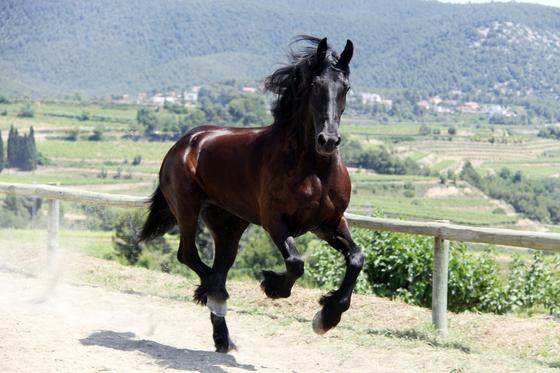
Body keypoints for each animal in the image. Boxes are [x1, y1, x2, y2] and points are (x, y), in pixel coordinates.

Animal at [141, 36, 364, 354]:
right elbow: (295, 262)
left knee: (217, 266)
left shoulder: (328, 223)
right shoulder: (275, 221)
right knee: (190, 256)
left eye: (345, 87)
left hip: (228, 225)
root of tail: (184, 142)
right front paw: (272, 286)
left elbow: (356, 258)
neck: (314, 168)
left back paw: (222, 336)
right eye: (314, 85)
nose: (328, 141)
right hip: (187, 208)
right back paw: (216, 296)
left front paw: (327, 317)